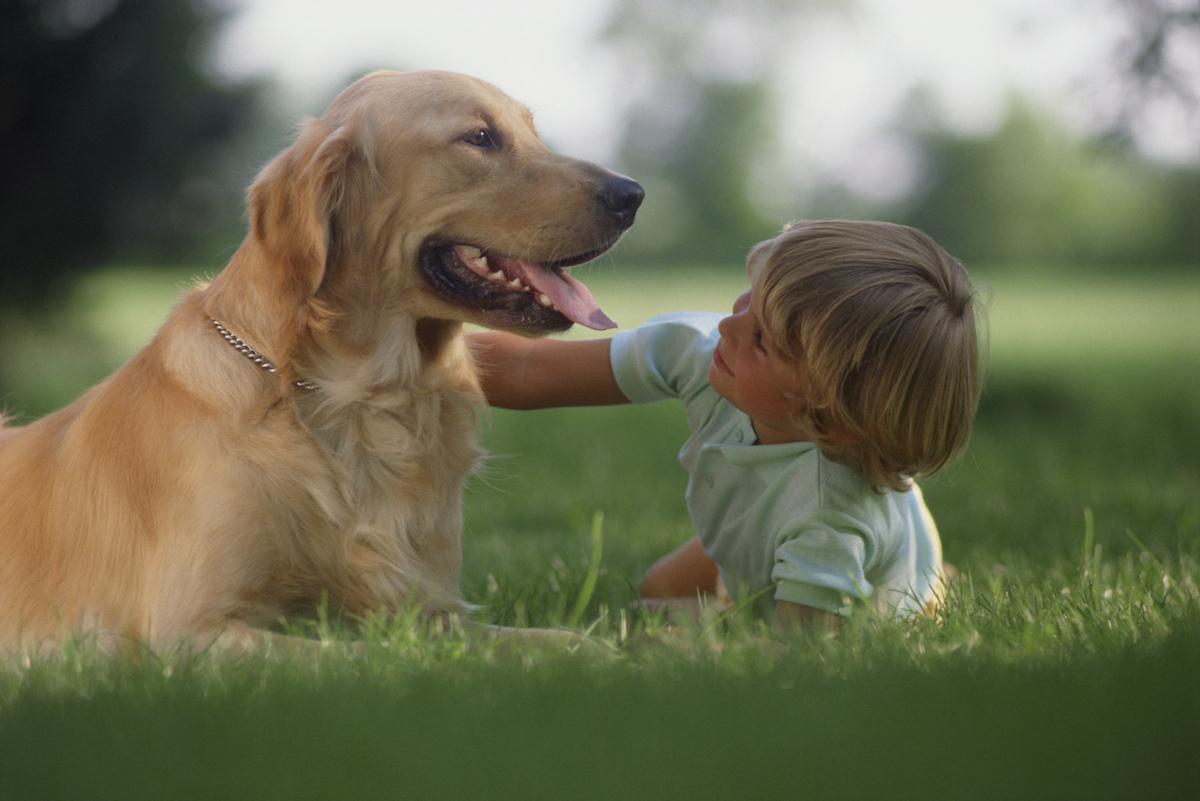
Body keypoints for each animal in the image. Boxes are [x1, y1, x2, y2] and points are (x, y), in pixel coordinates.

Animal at [0, 70, 643, 657]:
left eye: (531, 132)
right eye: (480, 138)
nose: (631, 194)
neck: (361, 398)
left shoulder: (436, 606)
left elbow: (562, 641)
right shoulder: (187, 630)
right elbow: (368, 653)